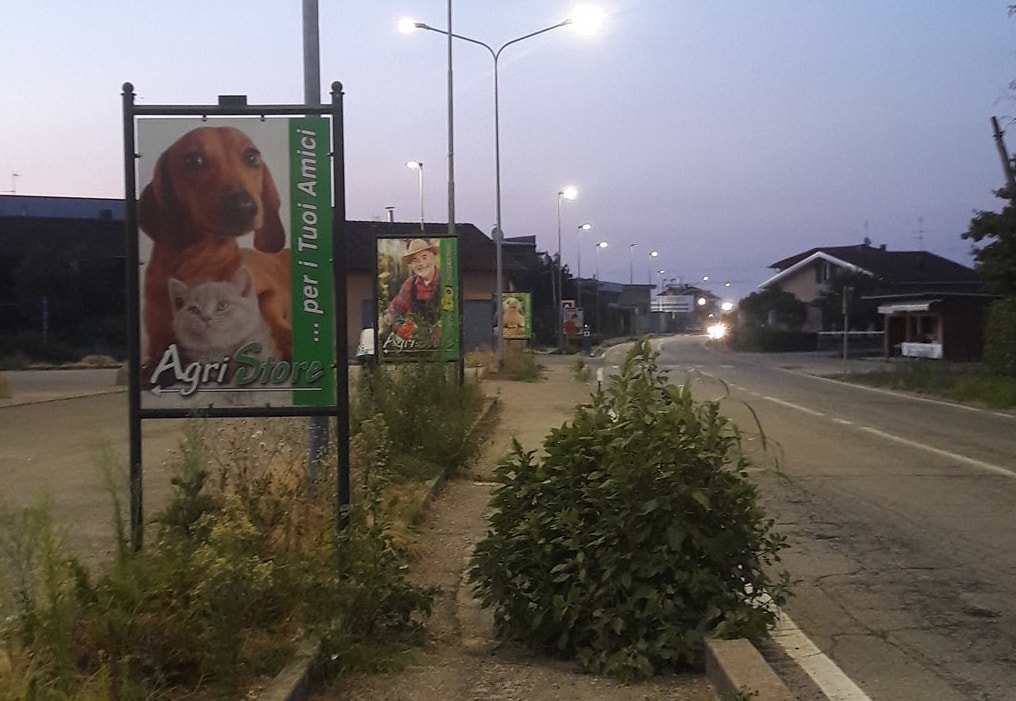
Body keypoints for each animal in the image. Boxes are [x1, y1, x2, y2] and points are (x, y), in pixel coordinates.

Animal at [138, 125, 294, 375]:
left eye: (252, 157)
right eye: (194, 160)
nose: (244, 207)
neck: (199, 261)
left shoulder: (271, 292)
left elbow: (266, 308)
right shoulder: (158, 346)